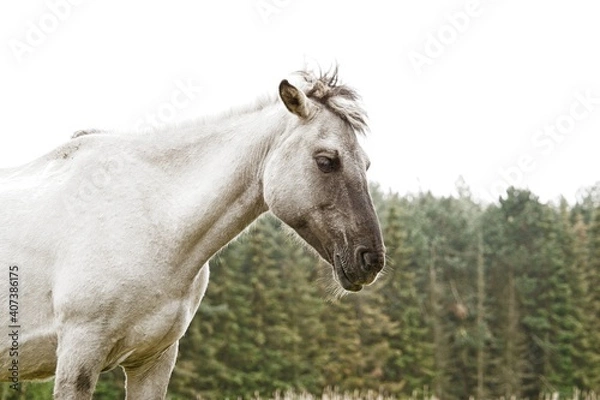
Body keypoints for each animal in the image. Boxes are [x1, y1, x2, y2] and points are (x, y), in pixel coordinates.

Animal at [0, 67, 384, 398]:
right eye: (326, 161)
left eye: (366, 164)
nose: (371, 259)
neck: (154, 223)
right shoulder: (80, 352)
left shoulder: (154, 361)